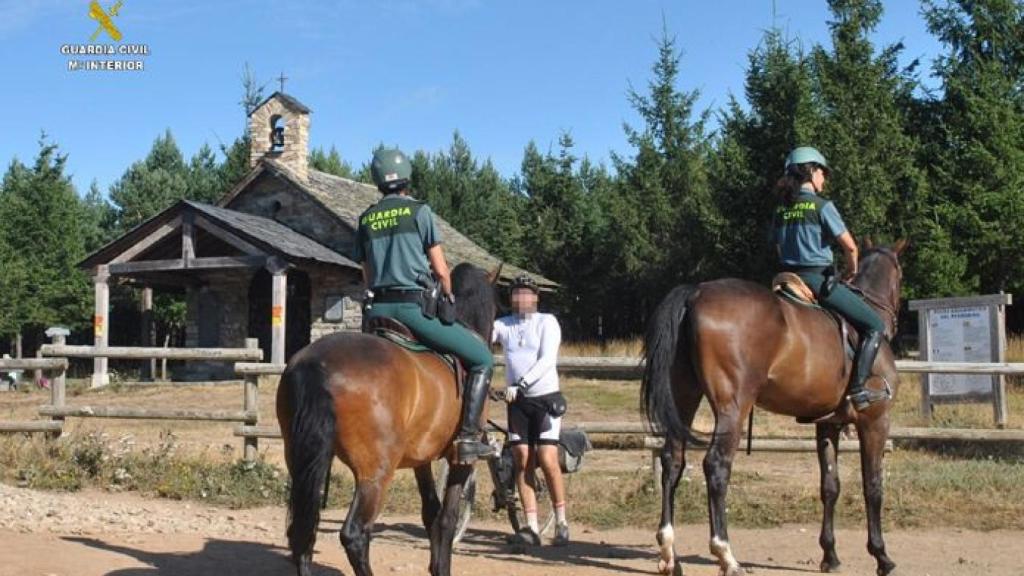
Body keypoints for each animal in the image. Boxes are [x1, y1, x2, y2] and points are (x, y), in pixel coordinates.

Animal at [278, 262, 497, 569]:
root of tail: (317, 364)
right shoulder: (461, 460)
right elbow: (447, 519)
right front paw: (441, 566)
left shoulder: (421, 458)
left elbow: (431, 512)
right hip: (375, 472)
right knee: (355, 534)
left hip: (301, 459)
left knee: (302, 533)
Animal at [643, 238, 909, 573]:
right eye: (900, 275)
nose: (897, 322)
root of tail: (695, 293)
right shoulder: (875, 421)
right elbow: (872, 486)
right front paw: (881, 556)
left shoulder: (828, 424)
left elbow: (830, 486)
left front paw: (830, 555)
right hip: (732, 407)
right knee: (716, 466)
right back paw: (726, 554)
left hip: (684, 397)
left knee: (672, 461)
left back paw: (669, 554)